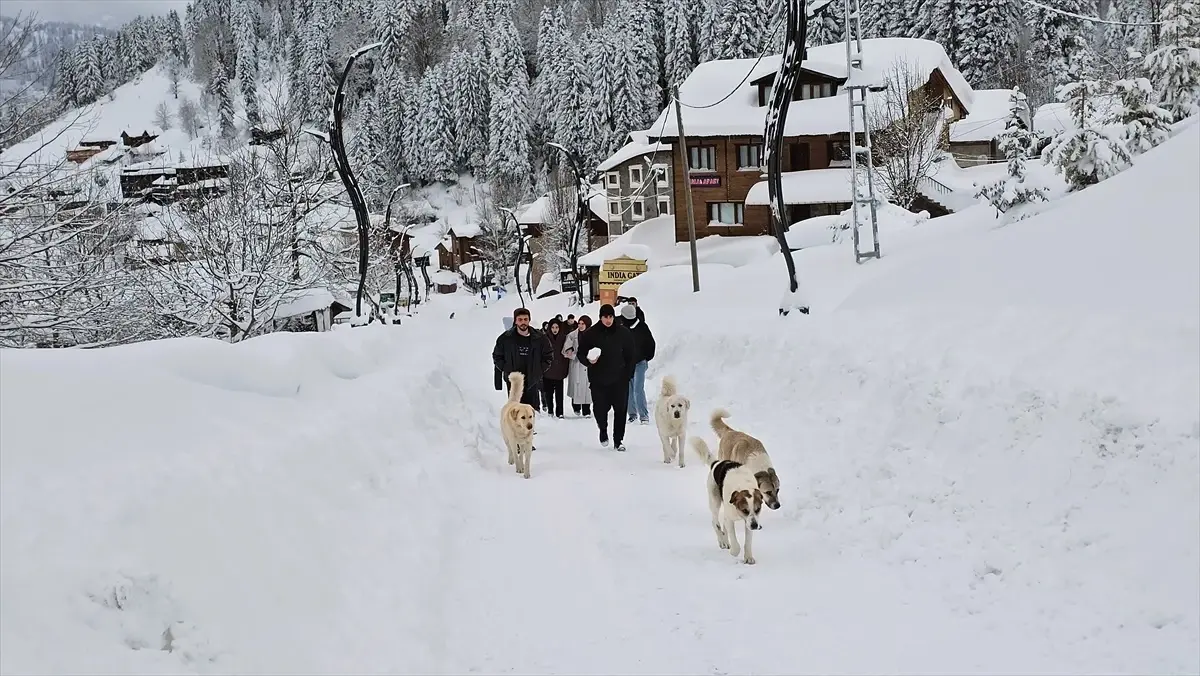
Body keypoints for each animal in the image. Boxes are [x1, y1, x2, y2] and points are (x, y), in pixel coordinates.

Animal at [691, 434, 763, 566]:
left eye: (758, 509)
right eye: (745, 510)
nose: (755, 526)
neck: (743, 485)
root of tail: (716, 463)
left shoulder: (749, 521)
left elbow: (748, 541)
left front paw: (748, 557)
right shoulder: (732, 519)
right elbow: (733, 537)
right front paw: (734, 551)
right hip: (714, 501)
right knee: (715, 523)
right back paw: (723, 541)